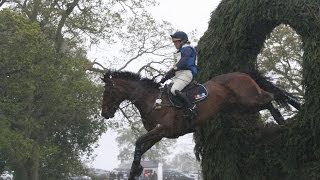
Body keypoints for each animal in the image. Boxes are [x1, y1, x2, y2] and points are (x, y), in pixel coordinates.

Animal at [100, 69, 300, 179]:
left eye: (108, 91)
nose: (105, 114)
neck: (152, 101)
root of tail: (241, 73)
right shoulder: (158, 135)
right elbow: (140, 147)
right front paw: (135, 170)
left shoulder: (163, 129)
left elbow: (138, 142)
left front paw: (135, 170)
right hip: (242, 107)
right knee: (270, 100)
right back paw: (282, 118)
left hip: (250, 99)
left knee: (272, 96)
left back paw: (288, 113)